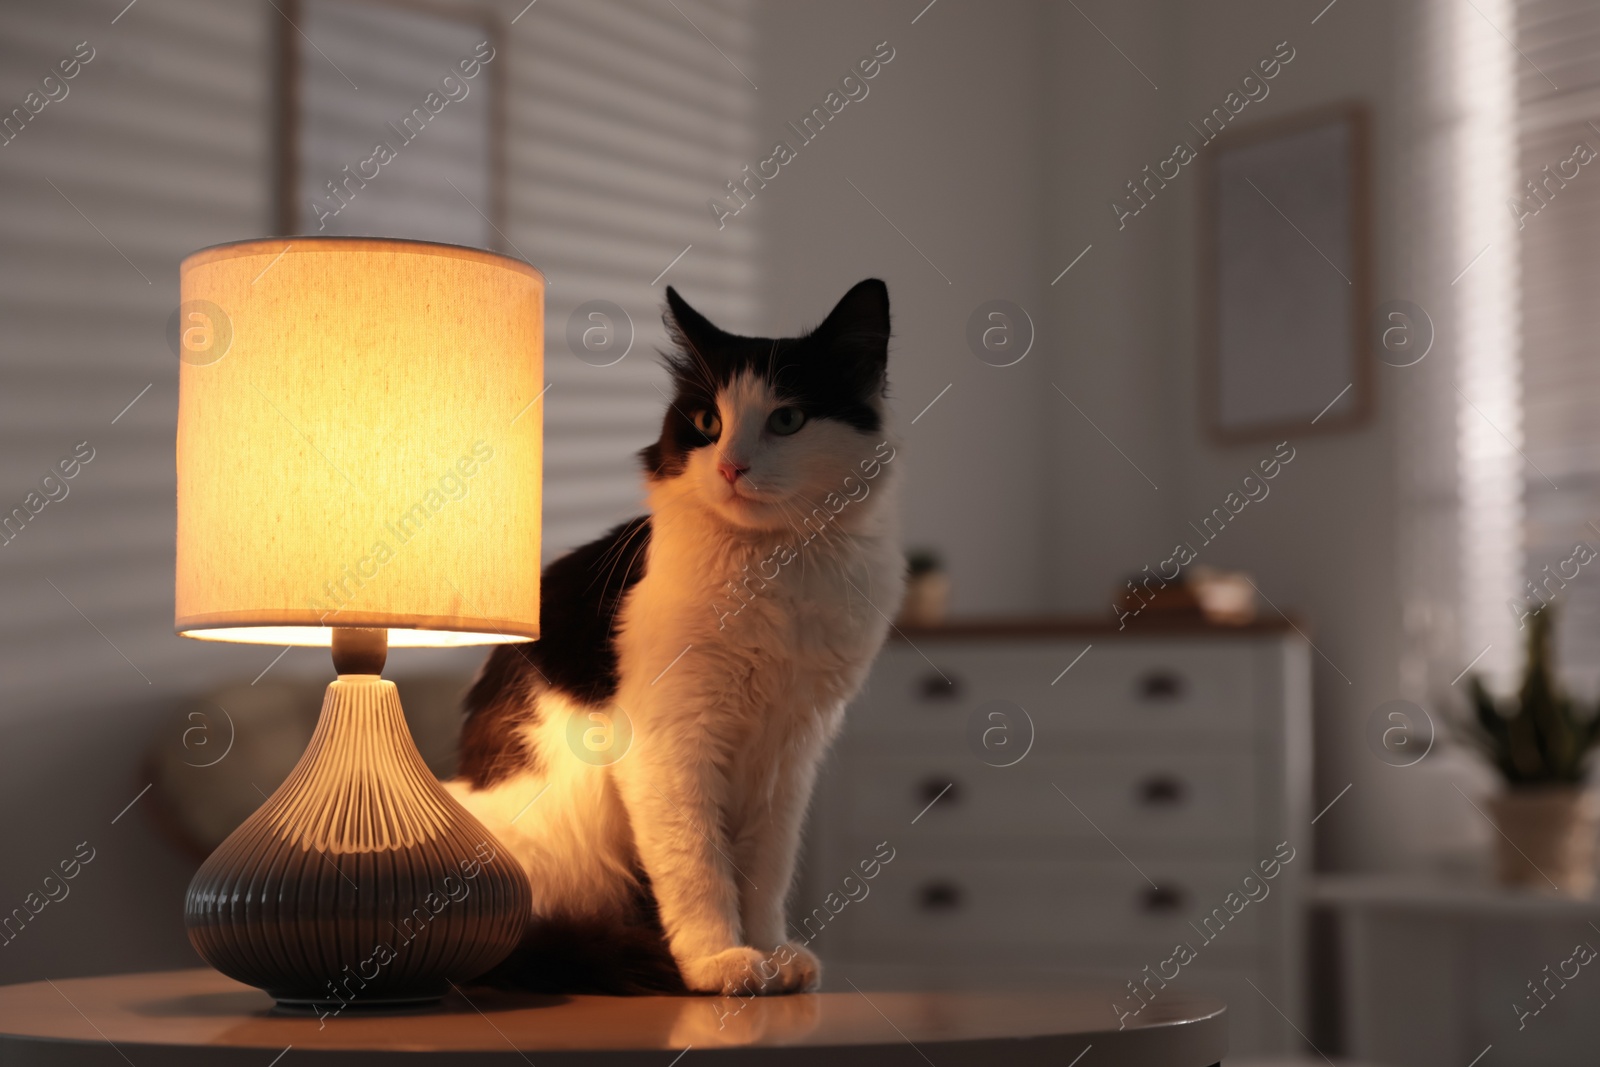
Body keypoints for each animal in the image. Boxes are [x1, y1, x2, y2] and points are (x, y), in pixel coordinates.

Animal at [444, 279, 908, 998]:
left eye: (787, 421)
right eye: (707, 423)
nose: (731, 467)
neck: (772, 570)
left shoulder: (790, 749)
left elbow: (765, 868)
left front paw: (770, 951)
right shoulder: (670, 742)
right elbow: (698, 864)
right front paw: (721, 961)